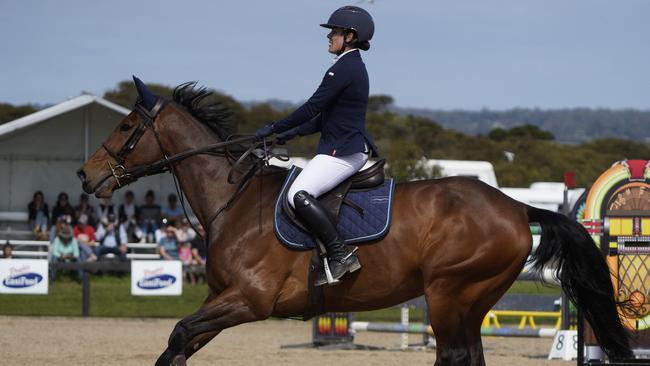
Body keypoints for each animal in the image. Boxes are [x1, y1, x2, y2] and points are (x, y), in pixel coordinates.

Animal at [76, 78, 628, 364]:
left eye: (126, 126)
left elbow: (178, 334)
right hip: (471, 300)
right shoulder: (222, 299)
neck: (233, 200)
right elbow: (180, 343)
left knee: (453, 355)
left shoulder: (249, 301)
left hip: (449, 293)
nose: (86, 175)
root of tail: (515, 207)